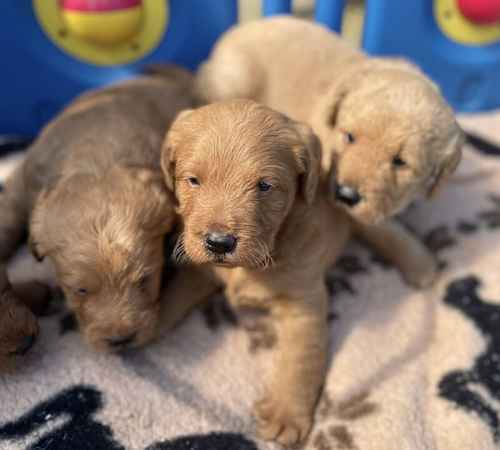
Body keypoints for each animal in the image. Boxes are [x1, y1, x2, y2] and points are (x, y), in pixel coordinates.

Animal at [160, 100, 352, 448]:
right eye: (193, 180)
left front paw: (286, 415)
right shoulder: (200, 269)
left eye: (264, 186)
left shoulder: (303, 303)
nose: (219, 242)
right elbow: (174, 295)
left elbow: (299, 361)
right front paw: (141, 323)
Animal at [195, 15, 464, 286]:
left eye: (400, 161)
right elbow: (383, 229)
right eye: (350, 137)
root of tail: (235, 30)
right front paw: (420, 263)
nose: (345, 194)